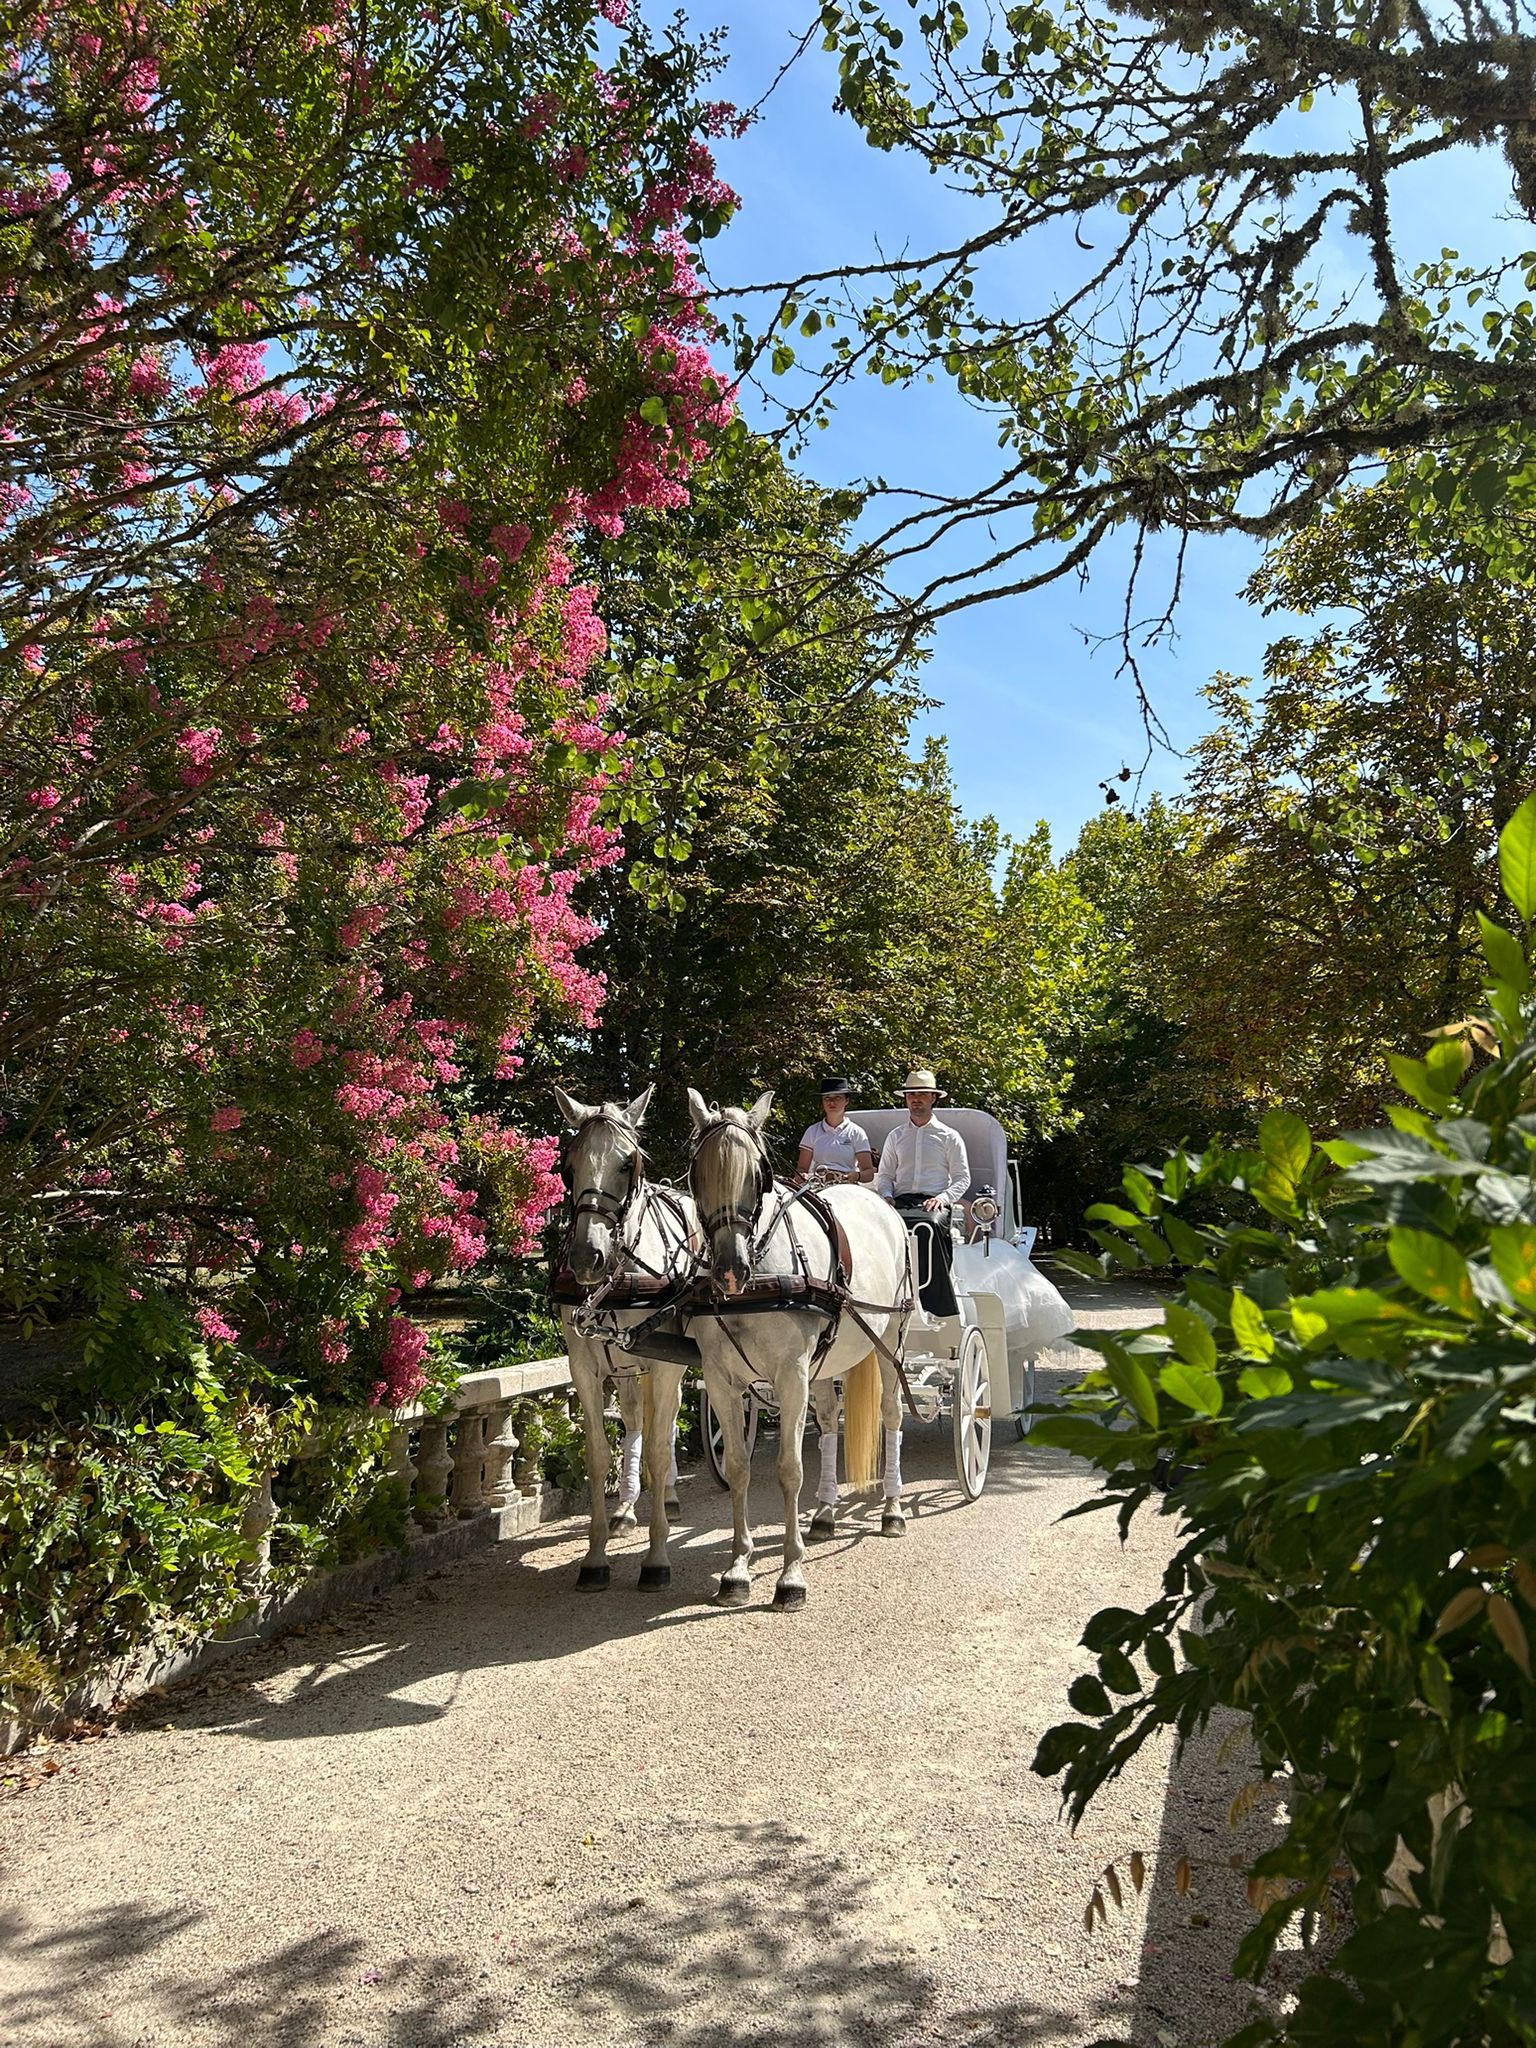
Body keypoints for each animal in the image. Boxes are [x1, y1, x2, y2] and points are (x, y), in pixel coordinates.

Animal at [550, 1085, 698, 1590]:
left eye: (626, 1161)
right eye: (569, 1163)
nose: (586, 1256)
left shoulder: (667, 1363)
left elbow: (657, 1448)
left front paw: (657, 1558)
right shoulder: (585, 1366)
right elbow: (598, 1454)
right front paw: (594, 1557)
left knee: (664, 1424)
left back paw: (666, 1497)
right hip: (628, 1366)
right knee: (636, 1419)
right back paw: (630, 1507)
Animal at [684, 1087, 913, 1609]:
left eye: (759, 1176)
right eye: (697, 1171)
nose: (730, 1270)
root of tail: (877, 1199)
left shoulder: (791, 1374)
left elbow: (789, 1470)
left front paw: (791, 1575)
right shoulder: (722, 1380)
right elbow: (739, 1468)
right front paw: (737, 1569)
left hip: (890, 1341)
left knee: (891, 1415)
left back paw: (892, 1510)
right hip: (825, 1363)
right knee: (828, 1421)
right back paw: (825, 1514)